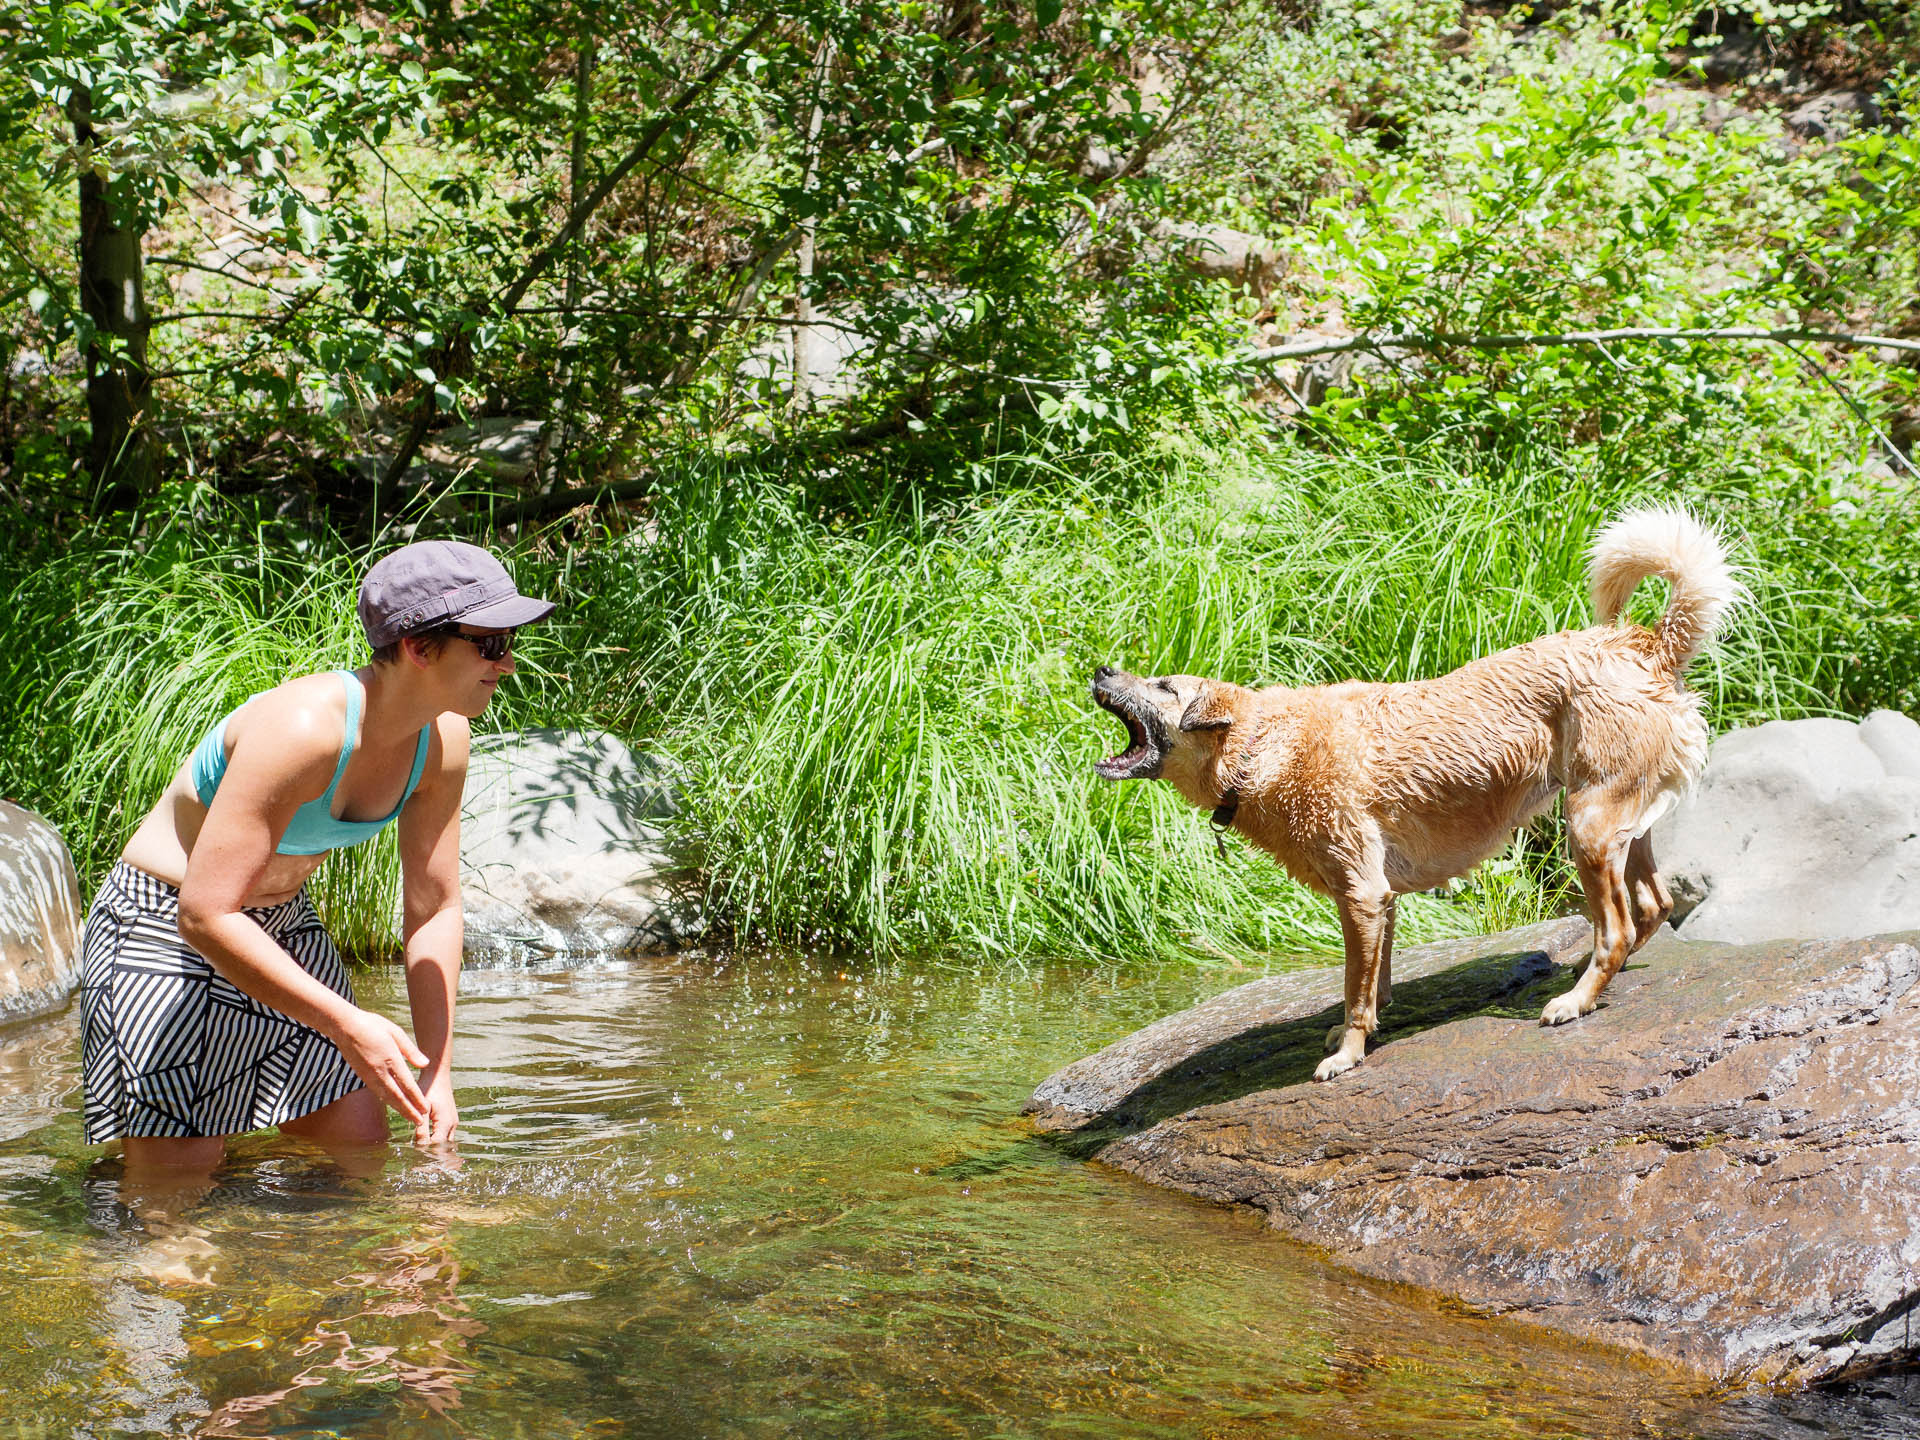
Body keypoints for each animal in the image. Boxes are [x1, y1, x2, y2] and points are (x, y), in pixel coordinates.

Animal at [1098, 506, 1743, 1082]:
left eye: (1164, 685)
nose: (1102, 670)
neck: (1261, 748)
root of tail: (1644, 645)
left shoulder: (1360, 893)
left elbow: (1355, 988)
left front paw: (1346, 1055)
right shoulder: (1376, 897)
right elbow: (1374, 980)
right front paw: (1359, 1028)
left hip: (1585, 825)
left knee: (1617, 929)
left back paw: (1575, 1000)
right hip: (1617, 819)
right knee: (1653, 905)